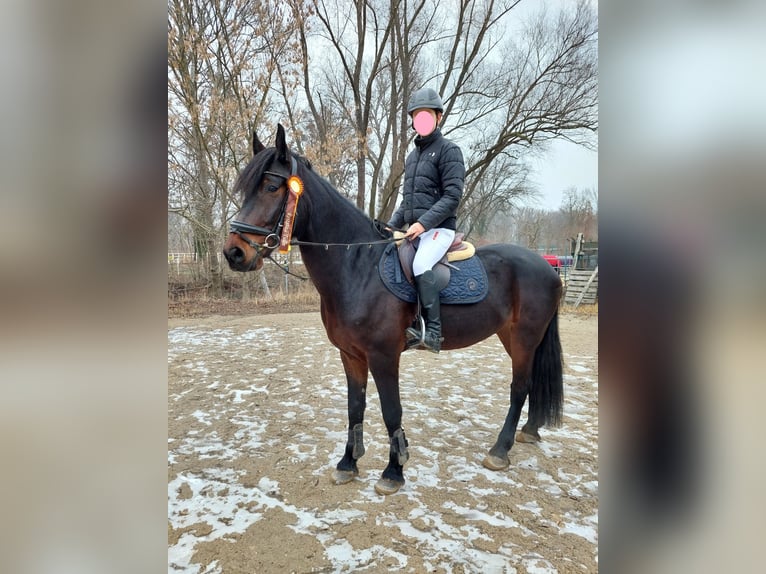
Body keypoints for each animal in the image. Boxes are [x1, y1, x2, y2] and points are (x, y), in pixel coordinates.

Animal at [223, 124, 564, 495]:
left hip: (524, 338)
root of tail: (547, 268)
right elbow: (355, 408)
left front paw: (393, 471)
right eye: (245, 190)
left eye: (271, 187)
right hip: (511, 336)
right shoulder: (350, 355)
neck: (357, 267)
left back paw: (500, 450)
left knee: (519, 388)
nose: (234, 253)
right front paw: (348, 463)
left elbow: (391, 411)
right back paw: (529, 432)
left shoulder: (384, 356)